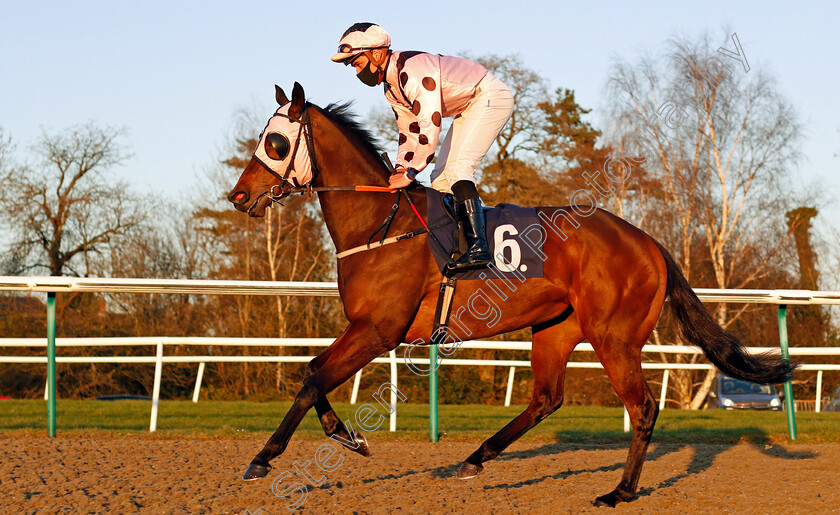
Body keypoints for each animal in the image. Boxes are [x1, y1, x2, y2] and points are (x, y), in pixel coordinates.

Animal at [226, 81, 792, 508]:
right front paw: (349, 436)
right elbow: (312, 372)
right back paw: (476, 458)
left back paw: (620, 491)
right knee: (547, 398)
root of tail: (649, 241)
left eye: (275, 142)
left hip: (614, 336)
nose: (238, 195)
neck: (379, 224)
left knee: (643, 406)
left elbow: (313, 378)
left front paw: (263, 458)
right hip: (556, 329)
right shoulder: (366, 330)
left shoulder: (378, 330)